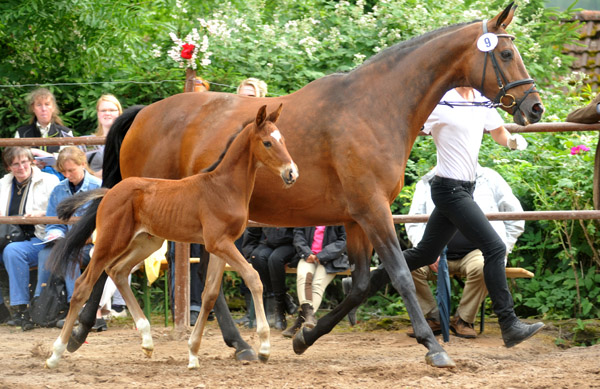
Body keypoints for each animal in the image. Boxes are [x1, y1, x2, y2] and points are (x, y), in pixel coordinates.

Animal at [45, 104, 298, 368]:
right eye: (267, 142)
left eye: (283, 140)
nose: (291, 173)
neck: (224, 187)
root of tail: (109, 192)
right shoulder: (219, 243)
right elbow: (253, 278)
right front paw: (264, 347)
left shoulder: (221, 246)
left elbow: (209, 294)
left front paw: (193, 353)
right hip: (111, 241)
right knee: (83, 285)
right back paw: (55, 354)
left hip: (146, 241)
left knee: (118, 271)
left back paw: (147, 340)